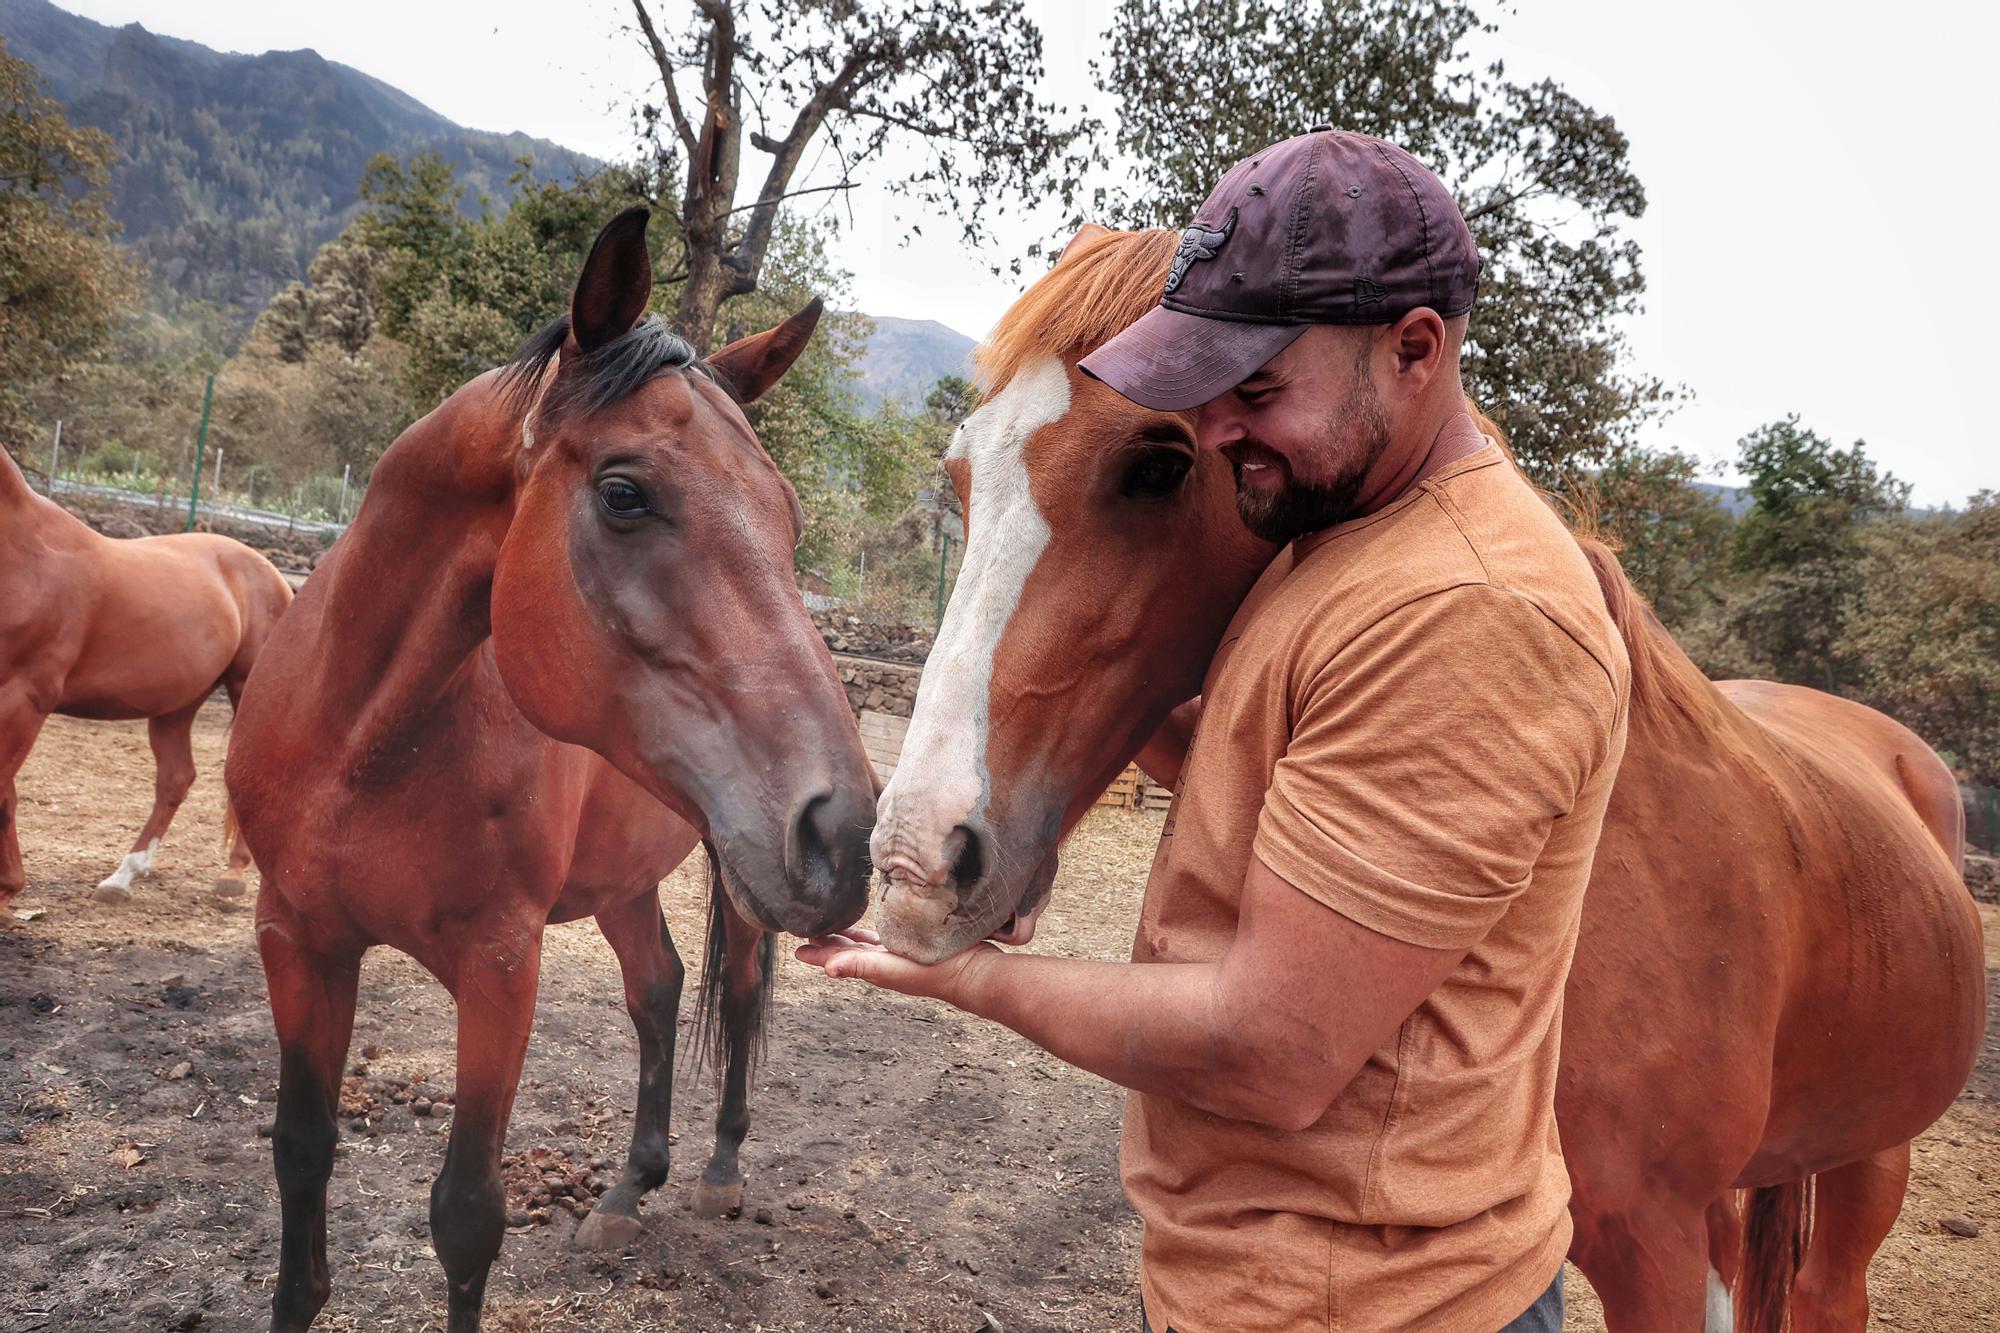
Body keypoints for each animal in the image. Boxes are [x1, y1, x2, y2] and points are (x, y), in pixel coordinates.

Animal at [0, 448, 292, 904]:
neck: (25, 553)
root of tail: (272, 573)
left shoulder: (24, 700)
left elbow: (3, 792)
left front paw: (8, 889)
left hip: (246, 691)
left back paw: (233, 873)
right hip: (177, 705)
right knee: (176, 779)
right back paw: (124, 876)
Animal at [227, 208, 876, 1328]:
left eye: (790, 520)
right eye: (623, 493)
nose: (845, 828)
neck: (360, 750)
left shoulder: (500, 966)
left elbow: (465, 1212)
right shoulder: (297, 939)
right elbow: (300, 1154)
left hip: (738, 877)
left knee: (736, 990)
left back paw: (717, 1169)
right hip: (626, 880)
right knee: (657, 987)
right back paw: (625, 1190)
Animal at [876, 228, 1984, 1328]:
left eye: (1155, 464)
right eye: (961, 473)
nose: (918, 857)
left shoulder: (1657, 1243)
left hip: (1867, 1161)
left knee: (1828, 1289)